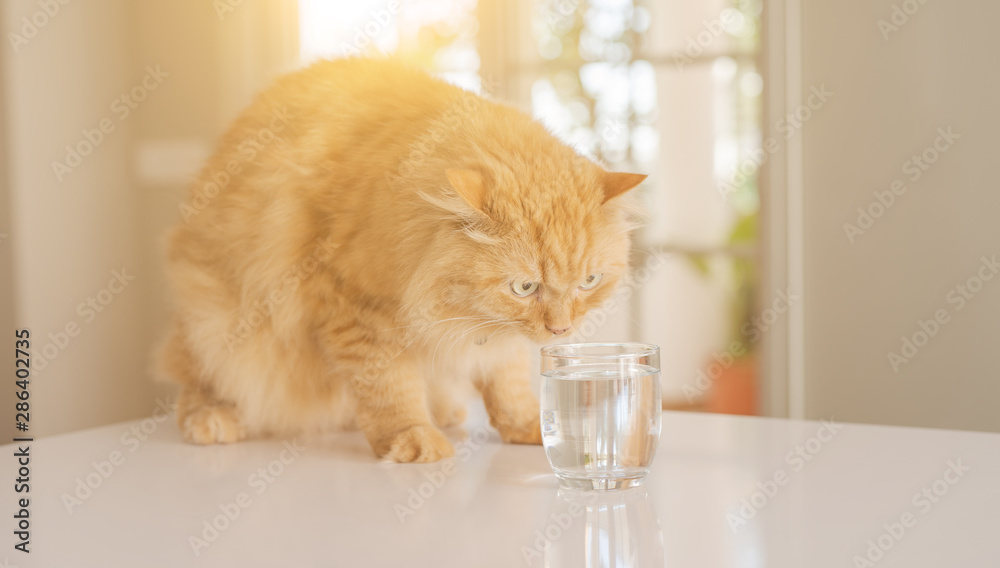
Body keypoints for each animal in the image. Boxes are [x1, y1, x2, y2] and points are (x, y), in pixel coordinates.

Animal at [160, 60, 644, 464]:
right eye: (525, 287)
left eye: (589, 281)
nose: (561, 330)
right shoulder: (353, 306)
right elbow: (390, 388)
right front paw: (413, 439)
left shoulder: (493, 336)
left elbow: (507, 386)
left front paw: (529, 429)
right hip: (213, 319)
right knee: (197, 379)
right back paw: (212, 418)